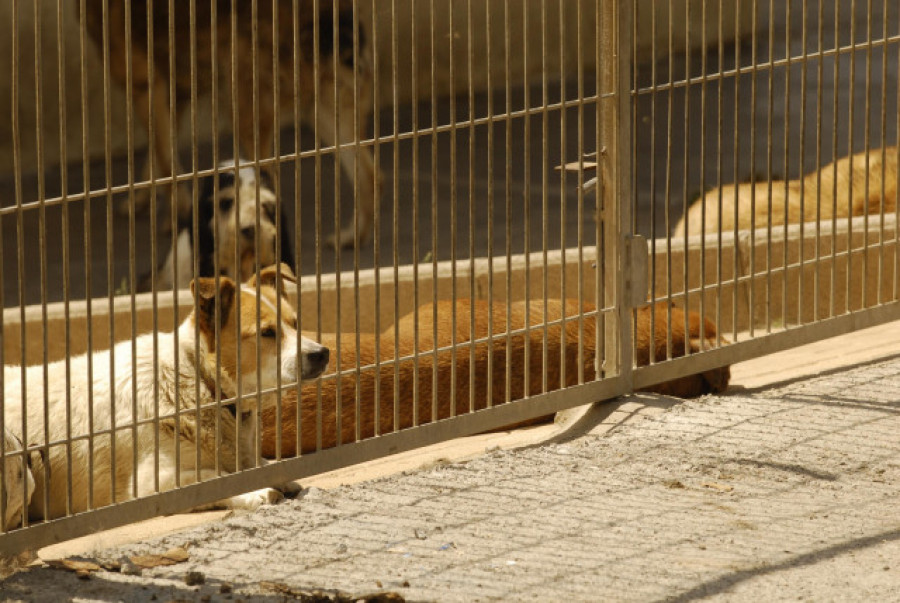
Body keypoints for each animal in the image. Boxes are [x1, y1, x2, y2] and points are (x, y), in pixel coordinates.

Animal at [3, 264, 326, 524]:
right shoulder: (153, 483)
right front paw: (256, 492)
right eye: (267, 333)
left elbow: (257, 464)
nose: (322, 353)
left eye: (295, 324)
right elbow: (213, 478)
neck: (201, 382)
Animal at [82, 0, 378, 249]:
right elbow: (160, 158)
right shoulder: (176, 94)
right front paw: (142, 201)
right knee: (371, 174)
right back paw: (352, 237)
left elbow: (165, 161)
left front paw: (176, 216)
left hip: (244, 108)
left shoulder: (146, 85)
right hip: (322, 111)